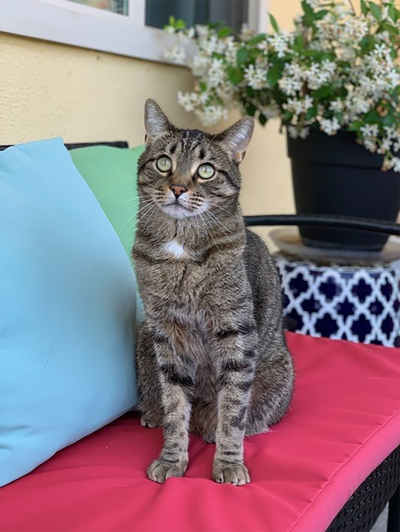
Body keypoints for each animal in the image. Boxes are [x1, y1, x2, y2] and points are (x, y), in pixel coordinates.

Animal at [132, 97, 294, 484]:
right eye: (164, 163)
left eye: (206, 171)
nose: (177, 188)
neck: (180, 244)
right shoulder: (165, 332)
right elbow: (175, 404)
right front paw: (172, 457)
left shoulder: (234, 330)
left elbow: (233, 409)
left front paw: (228, 462)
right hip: (144, 338)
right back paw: (154, 413)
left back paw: (209, 428)